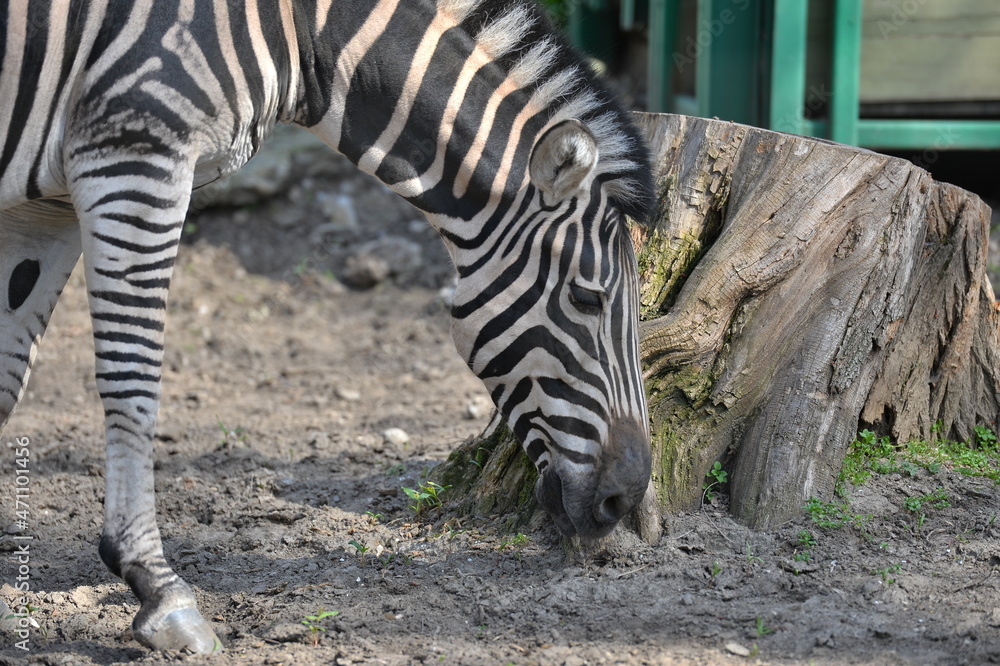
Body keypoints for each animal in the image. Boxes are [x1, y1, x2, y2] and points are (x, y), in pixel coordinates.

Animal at [0, 0, 654, 653]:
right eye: (587, 298)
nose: (625, 499)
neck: (297, 29)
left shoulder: (47, 204)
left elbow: (9, 375)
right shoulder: (134, 159)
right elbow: (132, 377)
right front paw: (160, 592)